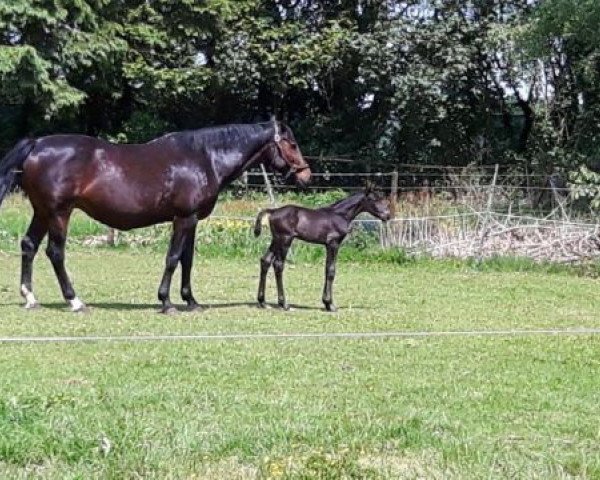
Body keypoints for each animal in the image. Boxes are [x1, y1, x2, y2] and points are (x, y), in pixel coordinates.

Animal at [252, 186, 390, 314]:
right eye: (373, 199)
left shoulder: (328, 245)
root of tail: (273, 211)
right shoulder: (333, 244)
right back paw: (284, 304)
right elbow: (331, 270)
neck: (340, 215)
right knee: (278, 264)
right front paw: (330, 305)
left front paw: (327, 303)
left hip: (276, 240)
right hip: (285, 239)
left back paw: (263, 302)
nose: (387, 215)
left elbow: (327, 269)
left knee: (265, 260)